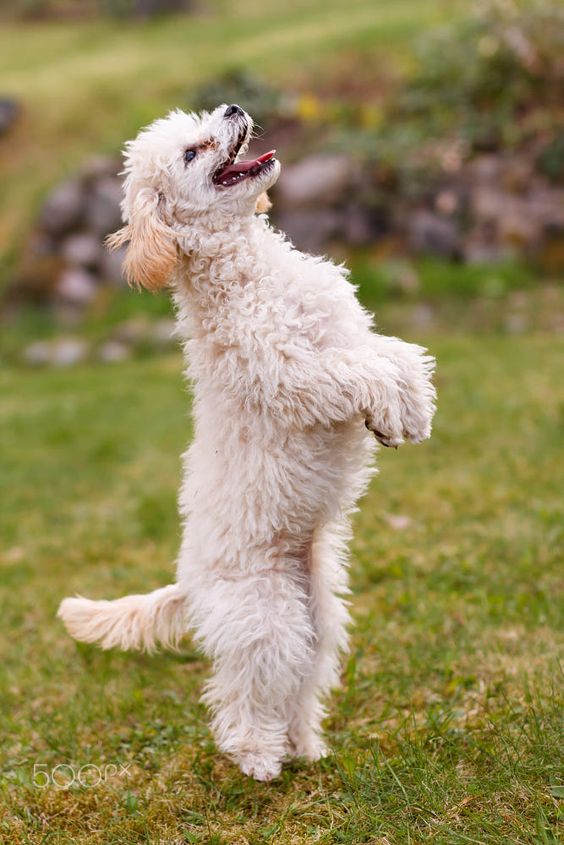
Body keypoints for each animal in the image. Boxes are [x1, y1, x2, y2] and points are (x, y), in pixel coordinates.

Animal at [58, 102, 436, 780]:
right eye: (190, 152)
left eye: (205, 123)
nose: (234, 107)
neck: (253, 270)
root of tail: (188, 582)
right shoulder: (294, 371)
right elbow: (361, 371)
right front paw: (392, 411)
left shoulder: (347, 331)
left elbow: (391, 354)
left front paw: (412, 410)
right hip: (266, 617)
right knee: (240, 696)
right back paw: (258, 757)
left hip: (318, 618)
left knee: (297, 686)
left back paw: (306, 747)